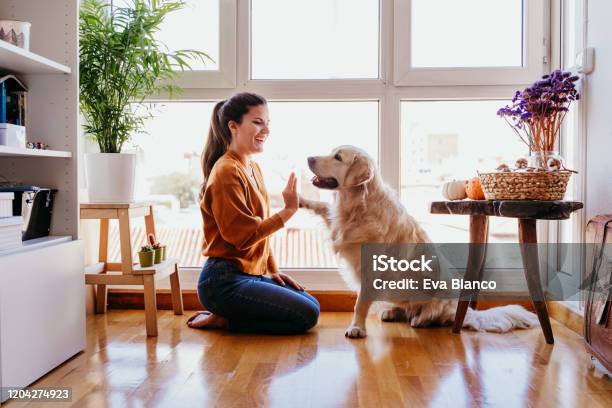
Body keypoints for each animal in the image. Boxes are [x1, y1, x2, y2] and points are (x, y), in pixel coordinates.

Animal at [298, 144, 536, 338]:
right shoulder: (337, 224)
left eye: (338, 157)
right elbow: (322, 207)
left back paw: (421, 319)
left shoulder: (371, 270)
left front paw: (356, 328)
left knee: (437, 315)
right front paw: (299, 199)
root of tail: (468, 312)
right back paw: (392, 312)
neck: (358, 205)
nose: (308, 157)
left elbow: (360, 304)